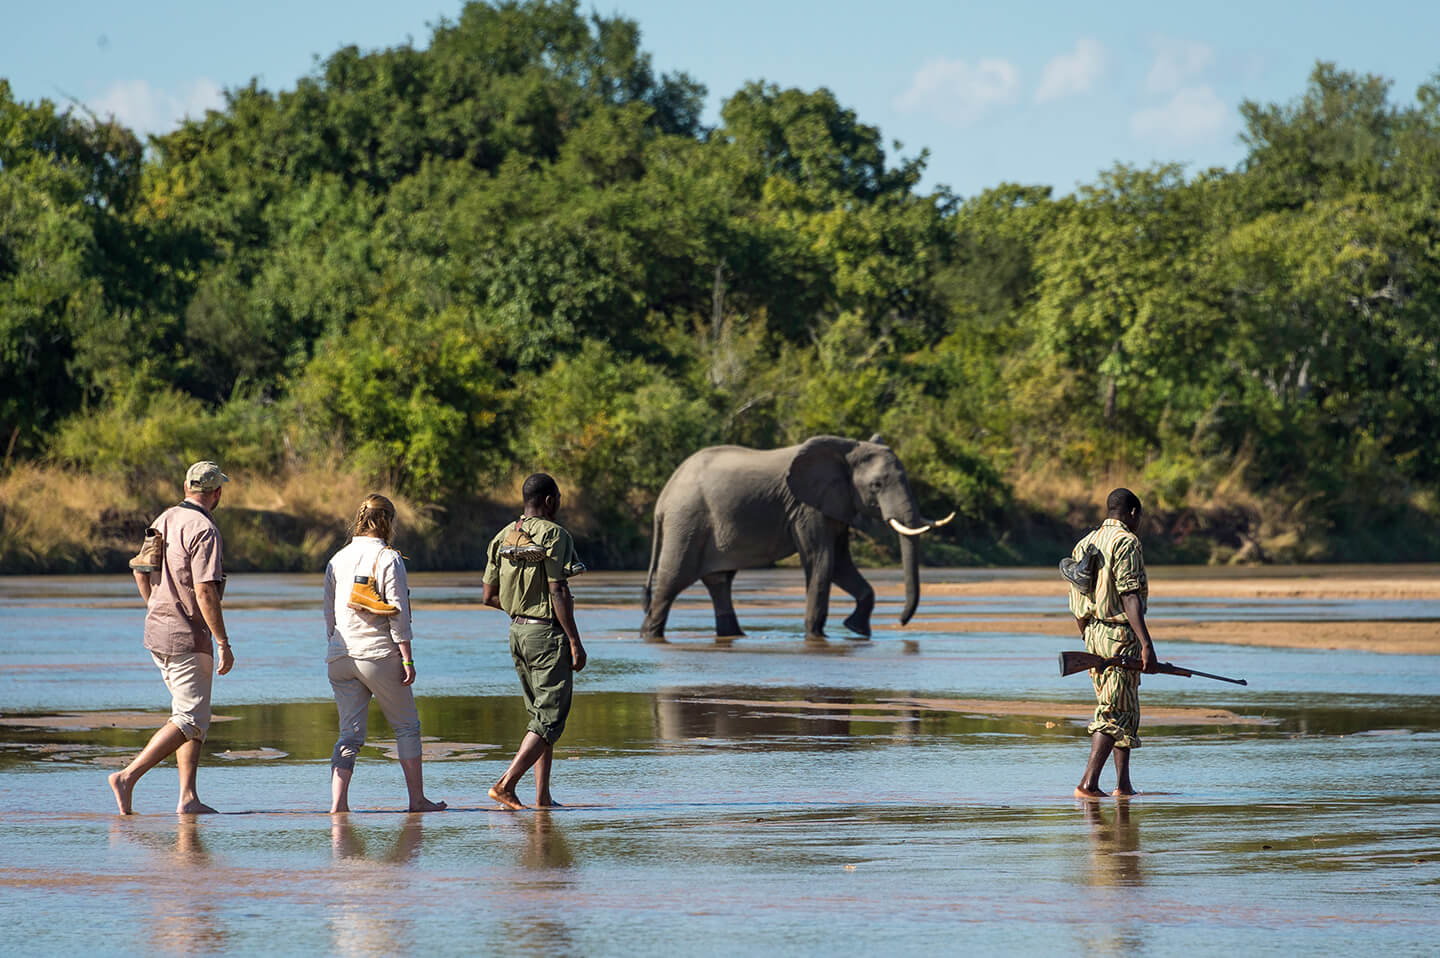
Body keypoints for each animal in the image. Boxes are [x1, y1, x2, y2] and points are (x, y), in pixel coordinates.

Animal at [642, 437, 956, 639]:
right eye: (876, 485)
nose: (901, 622)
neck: (846, 449)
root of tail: (663, 498)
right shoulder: (806, 507)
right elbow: (822, 561)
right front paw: (817, 636)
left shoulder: (835, 503)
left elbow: (840, 563)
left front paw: (856, 629)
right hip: (687, 522)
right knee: (672, 581)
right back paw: (649, 636)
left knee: (720, 582)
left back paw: (735, 636)